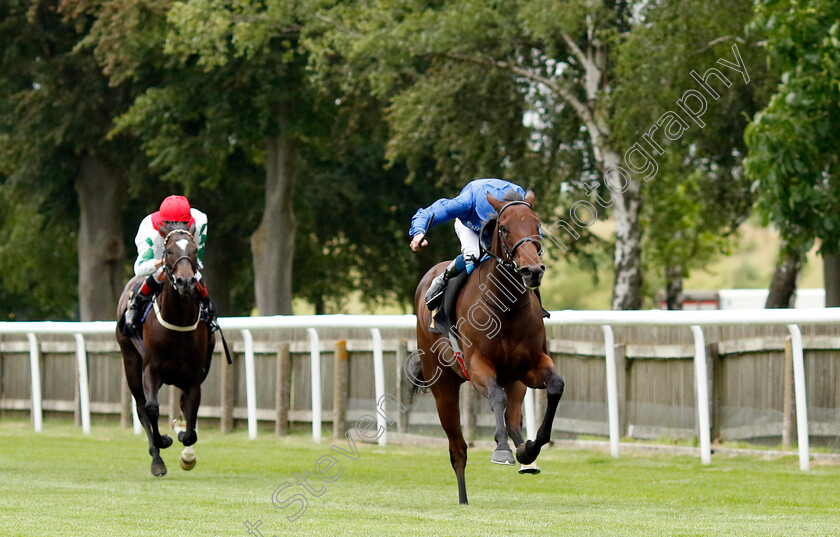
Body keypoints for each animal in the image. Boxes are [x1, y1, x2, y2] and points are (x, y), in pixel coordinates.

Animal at [116, 228, 215, 476]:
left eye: (194, 250)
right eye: (169, 251)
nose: (186, 281)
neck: (177, 323)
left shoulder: (193, 377)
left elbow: (190, 420)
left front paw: (184, 444)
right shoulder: (151, 370)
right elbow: (151, 409)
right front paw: (164, 441)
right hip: (130, 361)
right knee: (141, 407)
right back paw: (157, 458)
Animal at [412, 191, 564, 504]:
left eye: (537, 224)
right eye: (503, 228)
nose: (532, 271)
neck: (506, 307)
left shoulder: (531, 367)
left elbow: (556, 386)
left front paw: (529, 449)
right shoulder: (477, 366)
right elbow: (495, 397)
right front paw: (502, 449)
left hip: (515, 380)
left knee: (514, 418)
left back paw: (526, 456)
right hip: (442, 386)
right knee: (458, 449)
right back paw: (463, 499)